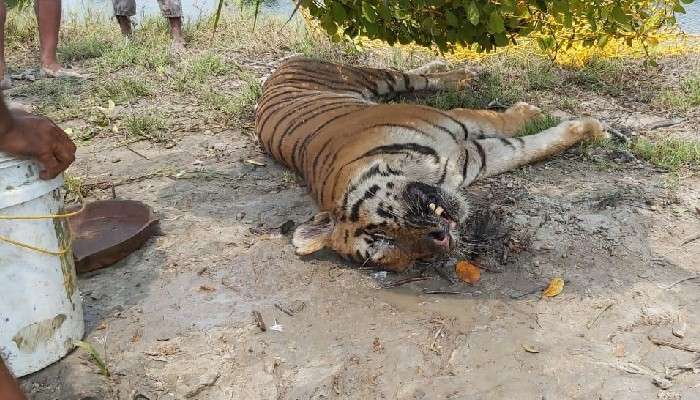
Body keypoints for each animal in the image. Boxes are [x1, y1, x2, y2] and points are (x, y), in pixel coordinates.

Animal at [254, 56, 604, 272]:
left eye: (382, 228)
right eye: (391, 246)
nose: (442, 239)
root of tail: (277, 70)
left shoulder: (457, 119)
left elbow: (502, 122)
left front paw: (540, 115)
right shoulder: (474, 156)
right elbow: (523, 148)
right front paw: (582, 129)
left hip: (371, 78)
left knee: (408, 75)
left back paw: (460, 75)